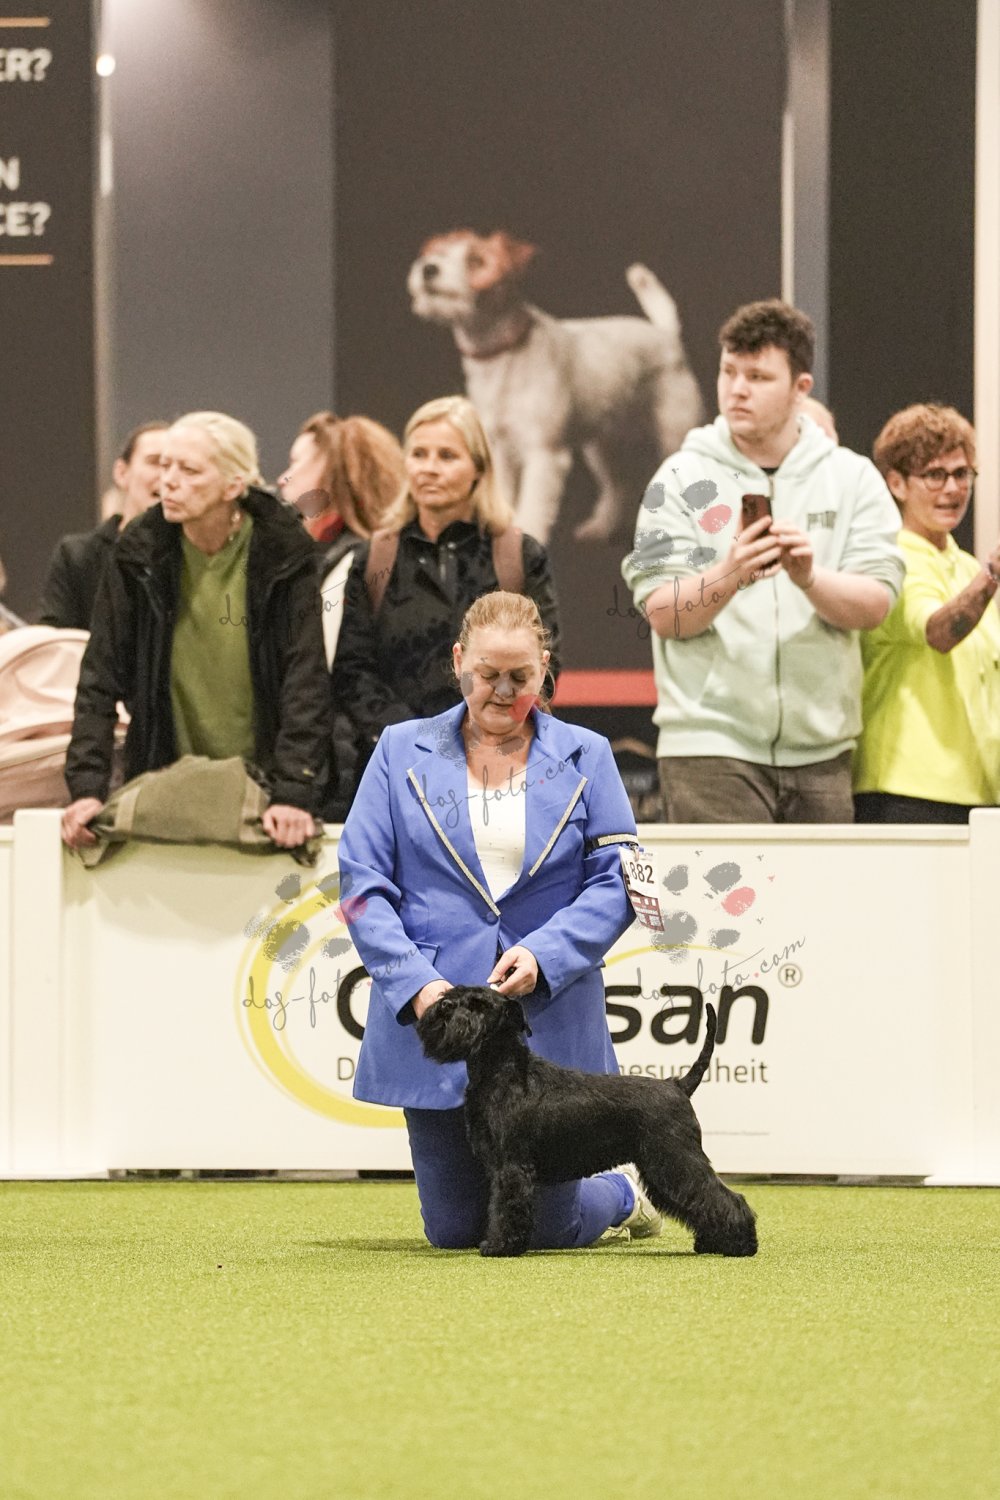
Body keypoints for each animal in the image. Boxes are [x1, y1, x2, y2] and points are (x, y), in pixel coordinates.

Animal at [408, 231, 703, 544]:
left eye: (477, 260)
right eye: (437, 253)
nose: (428, 268)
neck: (503, 357)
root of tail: (666, 334)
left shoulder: (544, 454)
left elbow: (534, 506)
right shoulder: (499, 450)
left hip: (674, 430)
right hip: (601, 447)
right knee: (617, 486)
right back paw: (600, 527)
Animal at [416, 985, 757, 1258]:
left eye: (479, 1005)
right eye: (453, 994)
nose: (443, 1007)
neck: (501, 1069)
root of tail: (678, 1085)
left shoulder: (511, 1166)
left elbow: (505, 1207)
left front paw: (500, 1246)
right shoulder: (500, 1167)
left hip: (675, 1160)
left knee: (723, 1196)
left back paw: (742, 1244)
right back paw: (712, 1242)